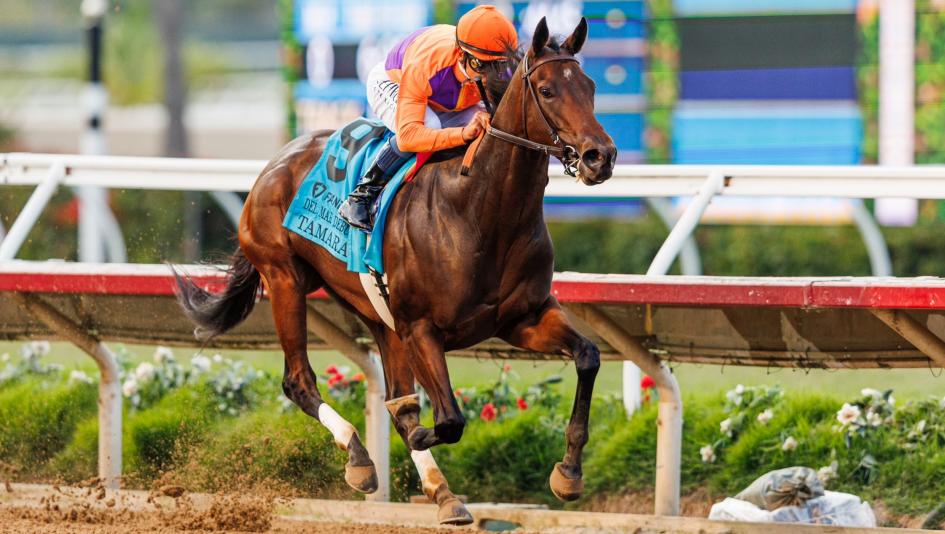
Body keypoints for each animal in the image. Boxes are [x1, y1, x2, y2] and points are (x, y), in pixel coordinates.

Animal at [174, 17, 616, 525]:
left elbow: (587, 356)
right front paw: (419, 436)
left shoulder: (522, 318)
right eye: (546, 90)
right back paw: (360, 458)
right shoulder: (423, 327)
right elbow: (446, 420)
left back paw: (442, 493)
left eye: (590, 86)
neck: (482, 213)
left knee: (390, 391)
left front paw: (569, 472)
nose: (600, 156)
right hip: (284, 277)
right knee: (299, 380)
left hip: (378, 315)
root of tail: (276, 161)